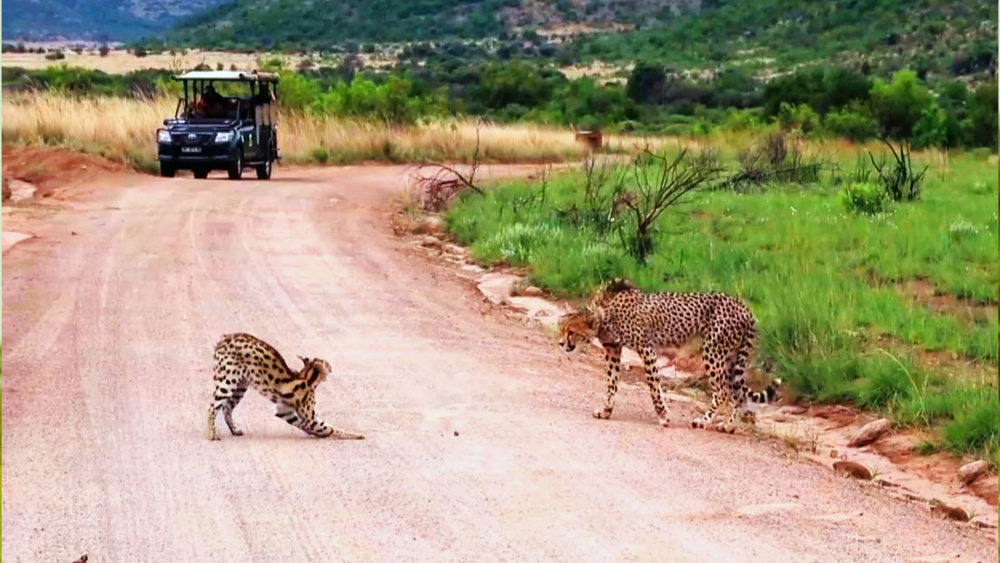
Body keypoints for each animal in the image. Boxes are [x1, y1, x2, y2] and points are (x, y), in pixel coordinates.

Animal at [208, 332, 368, 442]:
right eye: (325, 363)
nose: (331, 366)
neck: (307, 378)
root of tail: (225, 338)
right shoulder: (309, 417)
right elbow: (330, 428)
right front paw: (356, 435)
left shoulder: (285, 412)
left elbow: (311, 426)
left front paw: (315, 433)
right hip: (227, 383)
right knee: (212, 408)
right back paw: (212, 434)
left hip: (240, 386)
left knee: (227, 408)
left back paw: (234, 430)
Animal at [560, 280, 776, 434]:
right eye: (562, 329)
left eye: (571, 332)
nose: (561, 343)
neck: (605, 316)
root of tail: (744, 307)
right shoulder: (613, 350)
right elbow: (611, 385)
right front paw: (606, 411)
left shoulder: (647, 349)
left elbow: (654, 388)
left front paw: (663, 416)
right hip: (731, 358)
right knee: (738, 395)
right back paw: (729, 426)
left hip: (713, 351)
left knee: (722, 391)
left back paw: (703, 421)